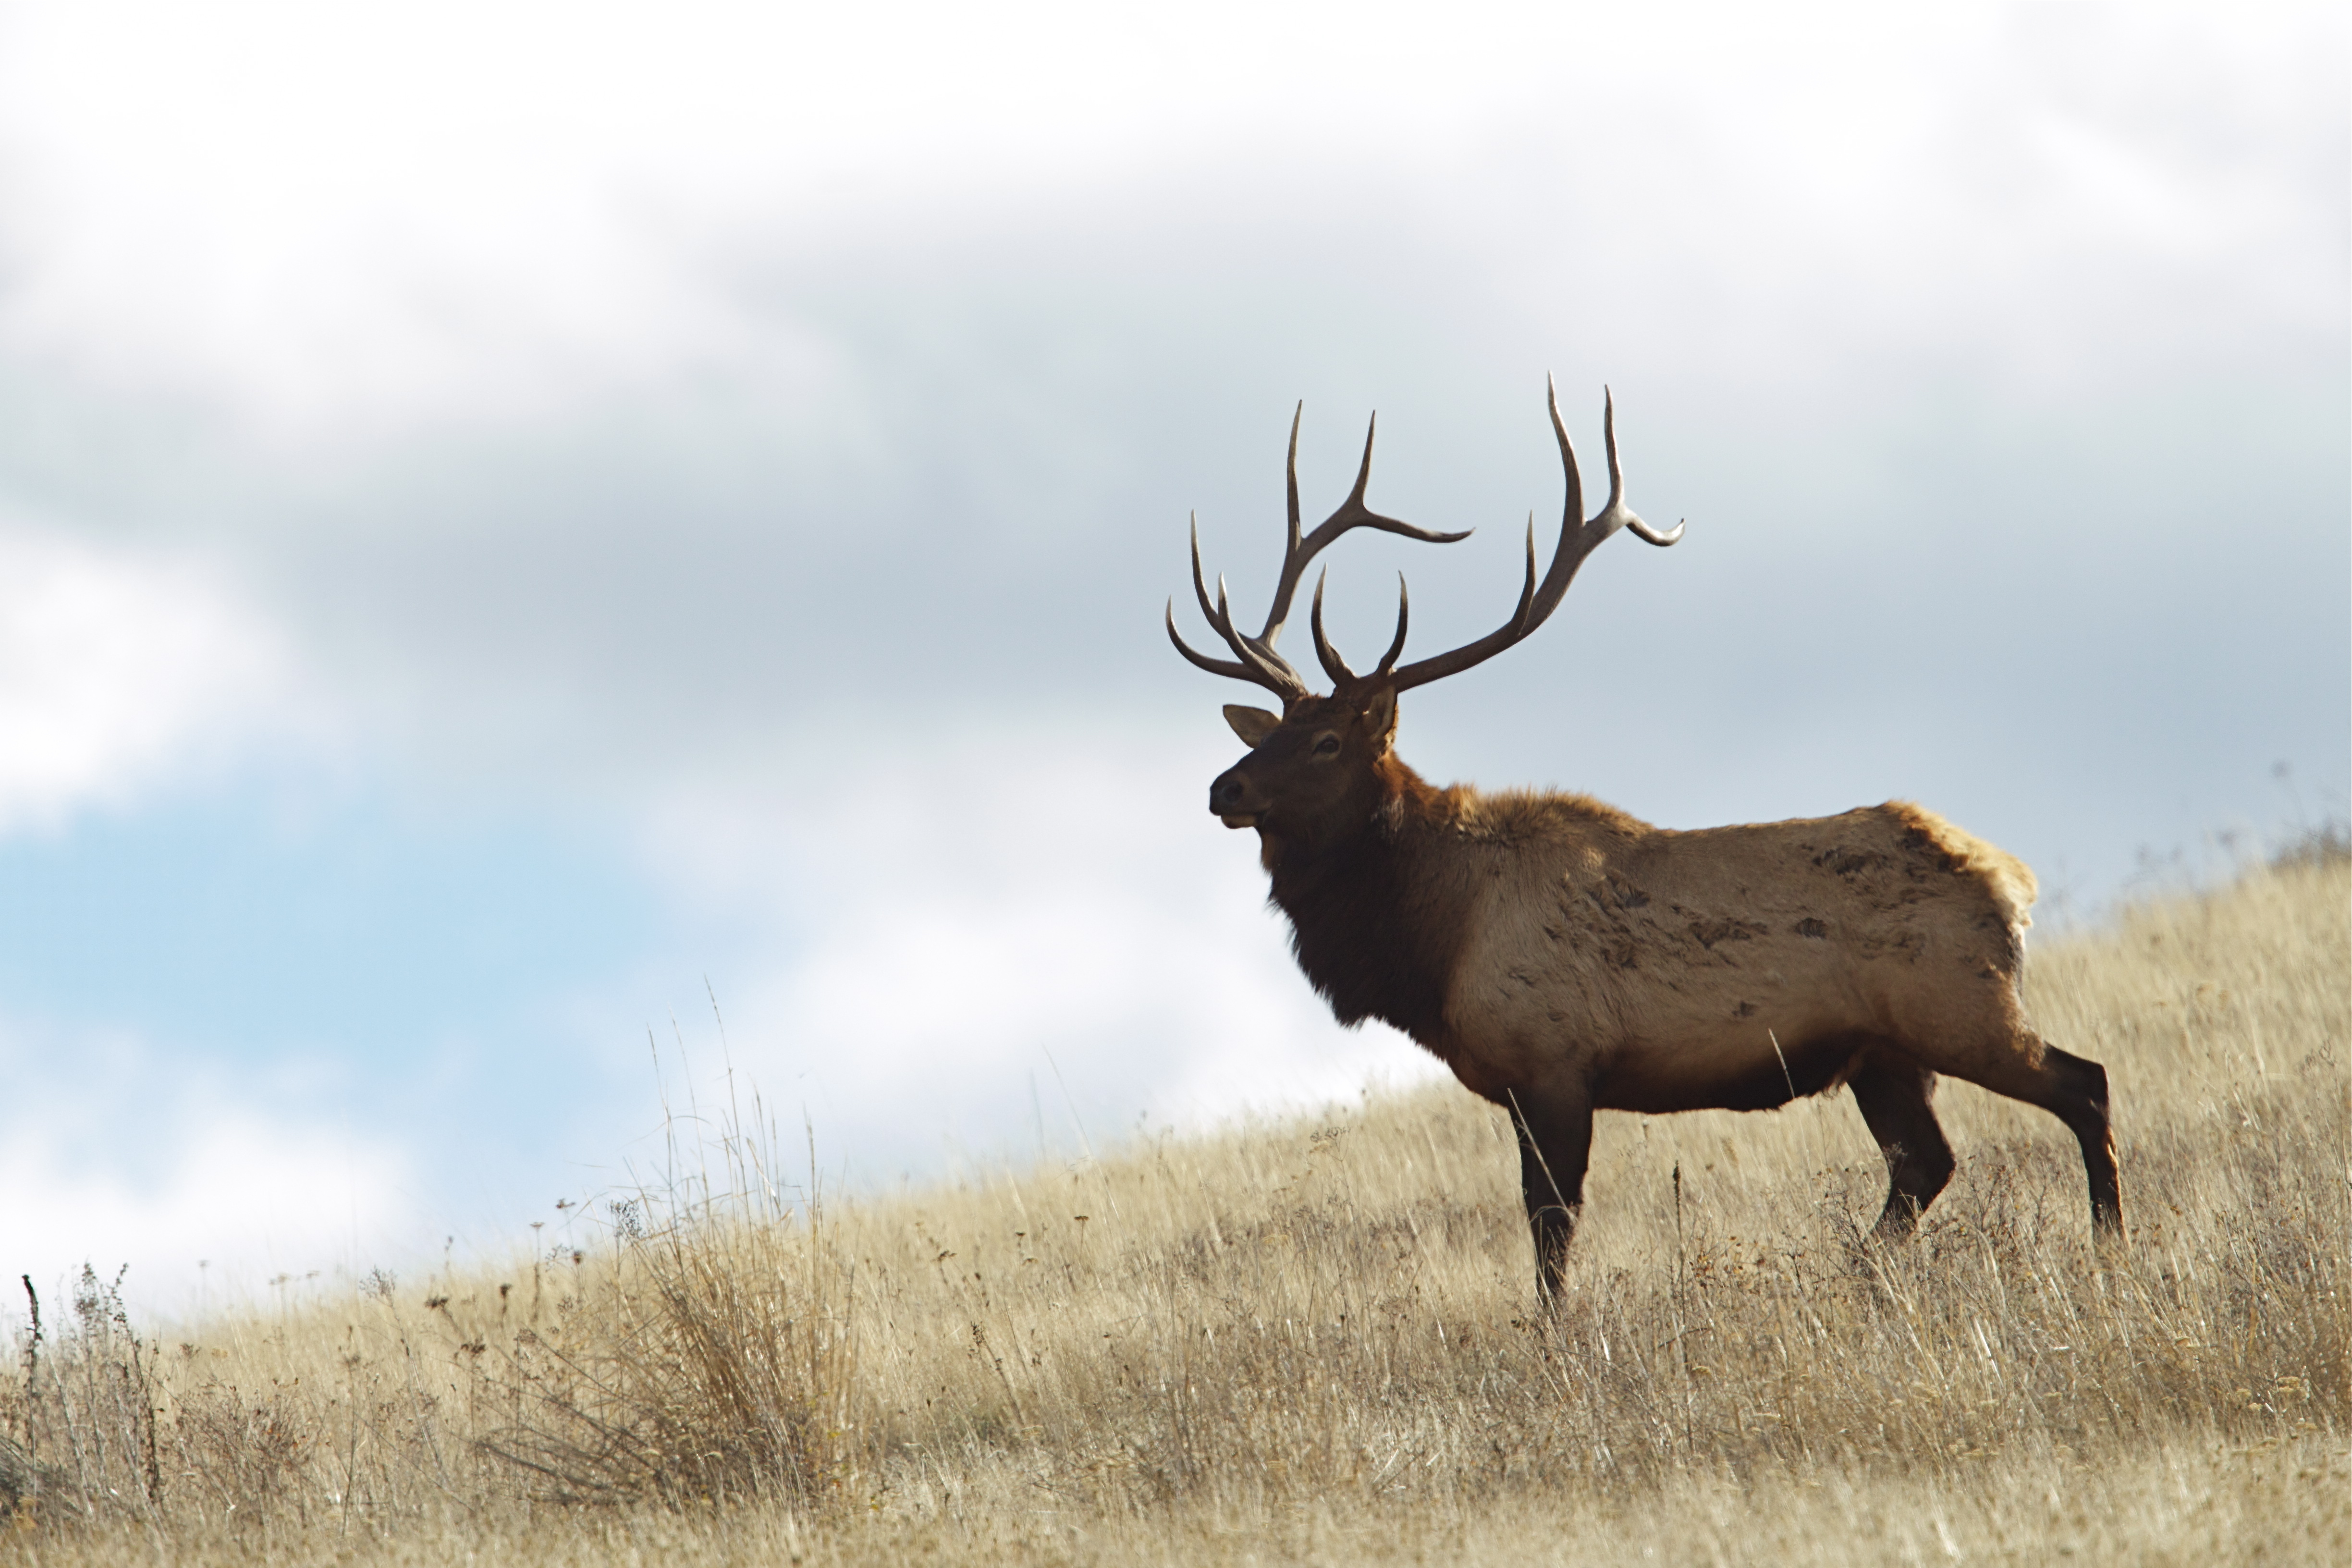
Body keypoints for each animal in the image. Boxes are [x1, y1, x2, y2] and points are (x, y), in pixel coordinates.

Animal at [1166, 380, 2122, 1303]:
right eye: (1273, 732)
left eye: (1328, 743)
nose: (1224, 788)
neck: (1434, 938)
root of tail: (2015, 882)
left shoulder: (1552, 1060)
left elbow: (1552, 1227)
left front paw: (1556, 1332)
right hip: (1883, 1053)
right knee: (1927, 1162)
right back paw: (1864, 1270)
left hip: (1960, 1005)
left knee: (2084, 1084)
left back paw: (2110, 1247)